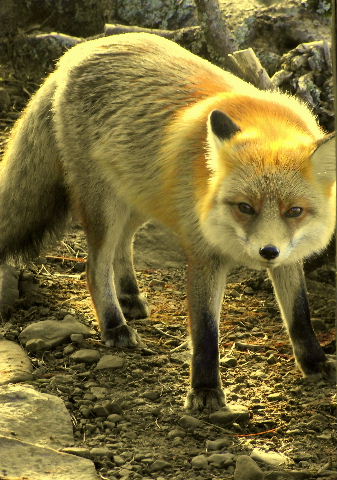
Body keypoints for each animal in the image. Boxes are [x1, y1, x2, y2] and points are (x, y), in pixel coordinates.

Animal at [0, 33, 334, 410]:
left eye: (295, 211)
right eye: (245, 207)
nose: (267, 252)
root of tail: (81, 49)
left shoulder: (290, 257)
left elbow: (300, 314)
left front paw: (315, 363)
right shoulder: (204, 255)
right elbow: (205, 332)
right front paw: (204, 390)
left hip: (141, 199)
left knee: (124, 245)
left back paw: (129, 296)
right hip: (105, 207)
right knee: (94, 266)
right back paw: (114, 324)